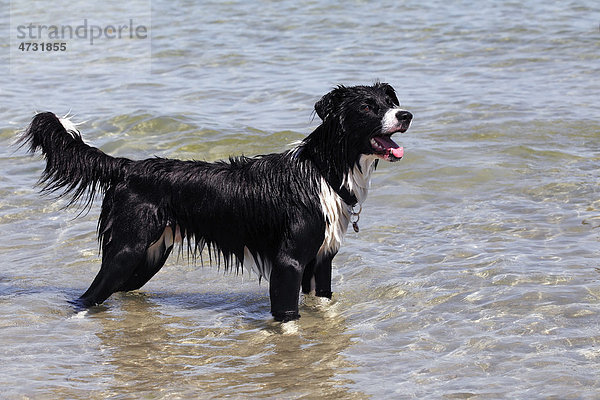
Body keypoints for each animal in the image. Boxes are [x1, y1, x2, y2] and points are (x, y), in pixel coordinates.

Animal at [19, 82, 412, 322]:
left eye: (390, 102)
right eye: (367, 106)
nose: (406, 115)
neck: (324, 170)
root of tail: (128, 166)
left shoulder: (321, 260)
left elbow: (325, 306)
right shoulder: (288, 262)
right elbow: (288, 318)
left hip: (149, 256)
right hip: (127, 250)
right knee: (89, 294)